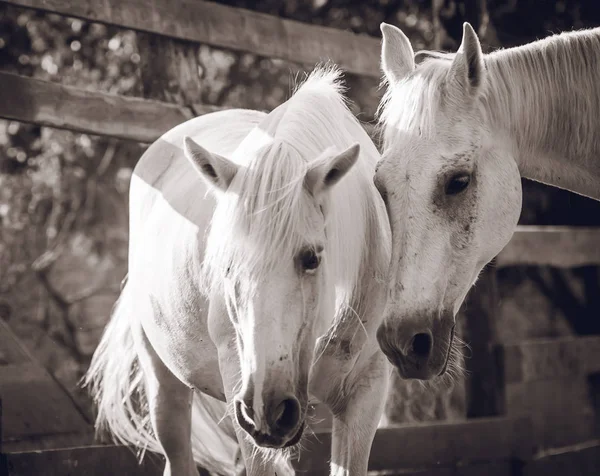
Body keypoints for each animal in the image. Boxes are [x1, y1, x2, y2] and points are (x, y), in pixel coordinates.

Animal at [85, 68, 394, 476]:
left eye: (311, 258)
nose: (269, 408)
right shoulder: (238, 381)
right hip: (165, 385)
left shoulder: (366, 393)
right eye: (226, 265)